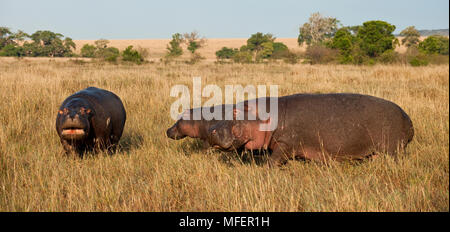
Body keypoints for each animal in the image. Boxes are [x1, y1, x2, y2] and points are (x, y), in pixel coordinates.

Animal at [209, 93, 414, 166]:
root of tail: (407, 118)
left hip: (392, 149)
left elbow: (273, 161)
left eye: (235, 111)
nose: (211, 129)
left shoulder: (285, 144)